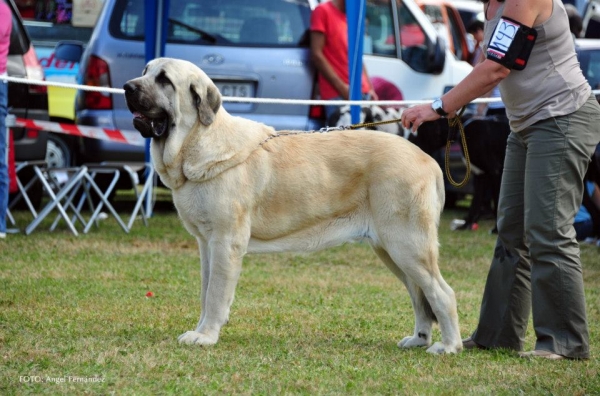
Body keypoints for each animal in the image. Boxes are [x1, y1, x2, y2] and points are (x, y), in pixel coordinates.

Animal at [120, 58, 460, 352]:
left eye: (164, 80)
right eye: (145, 71)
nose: (126, 86)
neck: (196, 141)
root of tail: (428, 160)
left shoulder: (226, 242)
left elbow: (215, 294)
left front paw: (206, 336)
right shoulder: (207, 244)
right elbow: (206, 293)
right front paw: (203, 330)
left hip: (407, 245)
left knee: (442, 293)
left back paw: (448, 346)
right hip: (391, 250)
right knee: (420, 295)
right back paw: (419, 340)